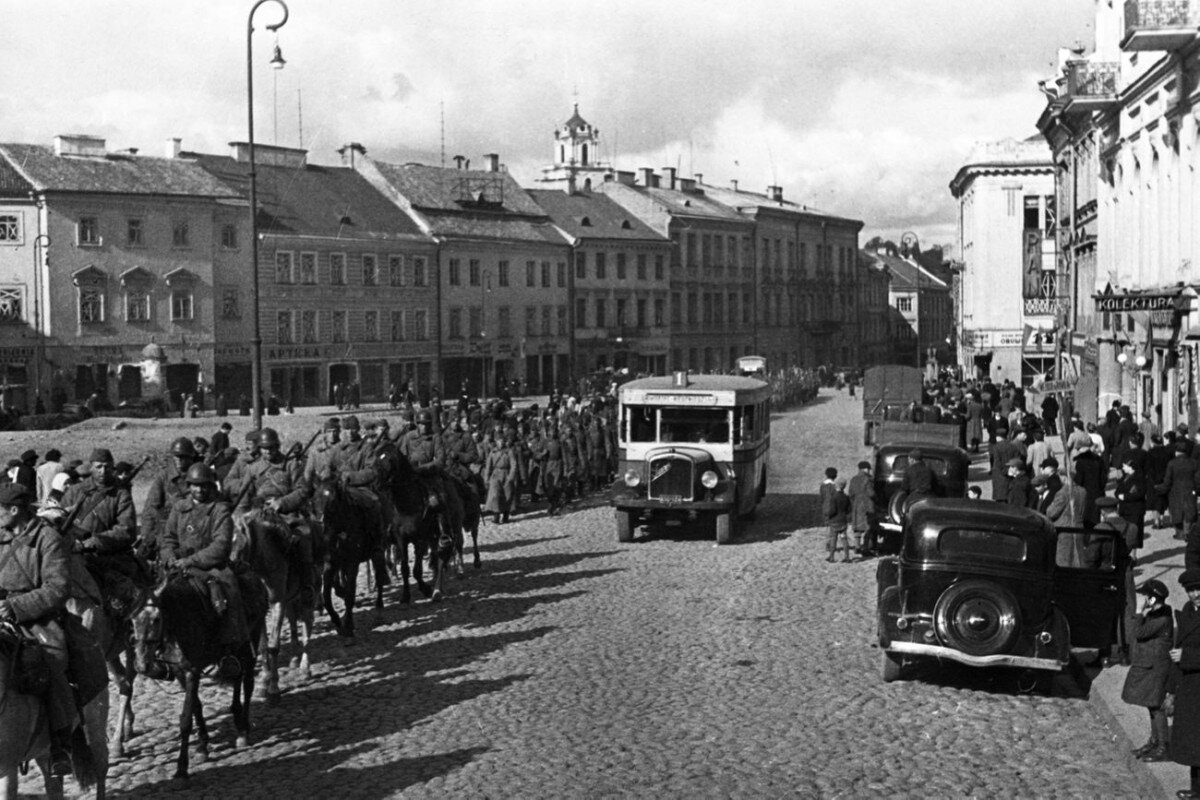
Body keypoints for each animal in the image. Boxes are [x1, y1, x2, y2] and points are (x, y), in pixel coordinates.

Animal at [135, 568, 268, 782]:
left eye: (156, 619)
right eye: (133, 620)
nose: (142, 665)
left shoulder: (192, 671)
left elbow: (186, 719)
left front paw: (181, 768)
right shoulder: (181, 673)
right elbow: (196, 707)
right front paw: (202, 746)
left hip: (251, 642)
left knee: (247, 683)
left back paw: (243, 730)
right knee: (237, 677)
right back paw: (237, 716)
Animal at [231, 510, 316, 705]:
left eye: (242, 542)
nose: (232, 567)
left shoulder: (278, 603)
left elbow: (273, 646)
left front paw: (274, 689)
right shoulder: (262, 610)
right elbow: (263, 647)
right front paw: (263, 683)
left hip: (307, 598)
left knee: (307, 627)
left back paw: (304, 668)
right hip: (291, 601)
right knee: (293, 623)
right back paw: (294, 660)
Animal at [309, 479, 388, 642]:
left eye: (332, 501)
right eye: (313, 500)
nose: (318, 523)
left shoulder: (353, 563)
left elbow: (350, 594)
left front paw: (349, 626)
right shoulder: (330, 564)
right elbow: (327, 595)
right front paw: (337, 622)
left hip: (377, 552)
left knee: (379, 578)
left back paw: (379, 611)